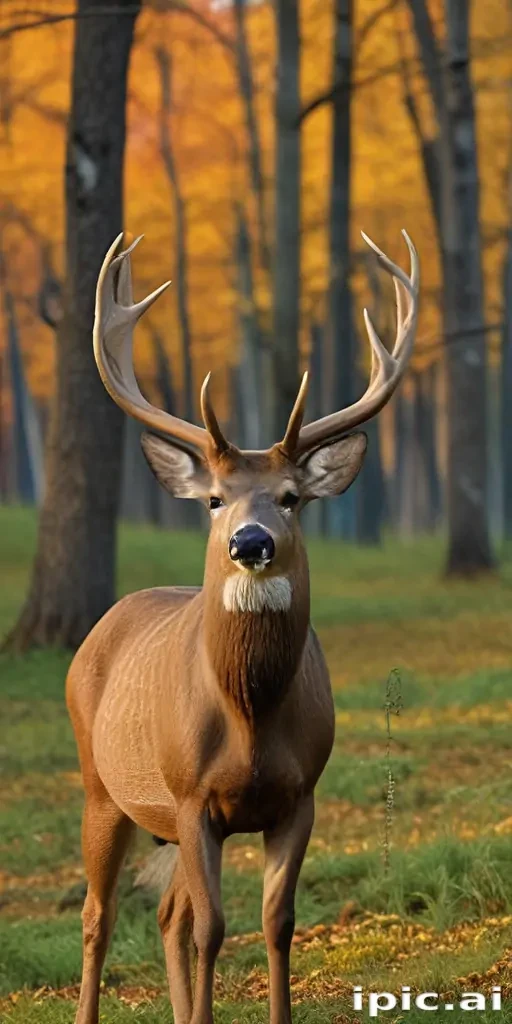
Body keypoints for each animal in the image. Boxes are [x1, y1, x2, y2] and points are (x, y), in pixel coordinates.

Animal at [66, 229, 418, 1024]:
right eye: (214, 499)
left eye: (290, 497)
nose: (249, 541)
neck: (249, 716)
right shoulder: (193, 796)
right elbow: (214, 929)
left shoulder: (300, 794)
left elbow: (275, 922)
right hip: (102, 785)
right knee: (101, 914)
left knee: (167, 914)